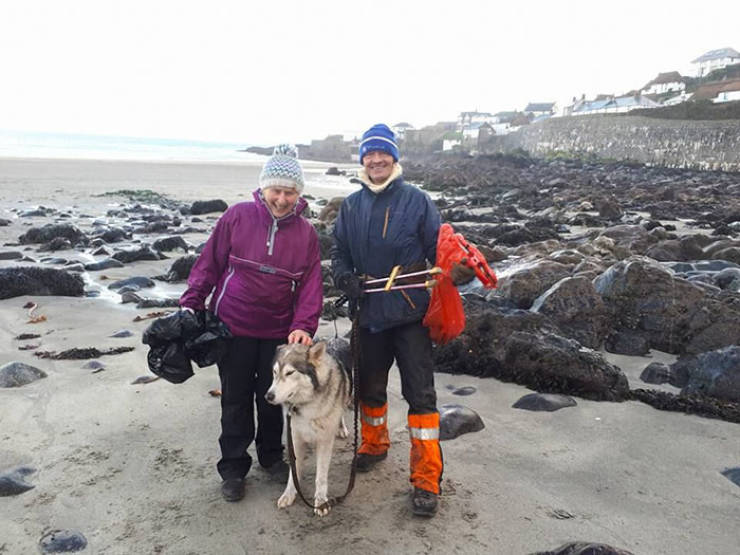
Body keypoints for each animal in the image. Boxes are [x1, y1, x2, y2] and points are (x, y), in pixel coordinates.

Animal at [266, 338, 352, 516]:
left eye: (290, 373)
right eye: (275, 372)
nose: (268, 396)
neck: (306, 405)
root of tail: (337, 338)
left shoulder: (324, 441)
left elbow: (321, 477)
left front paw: (321, 501)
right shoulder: (295, 439)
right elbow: (293, 473)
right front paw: (289, 494)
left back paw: (341, 428)